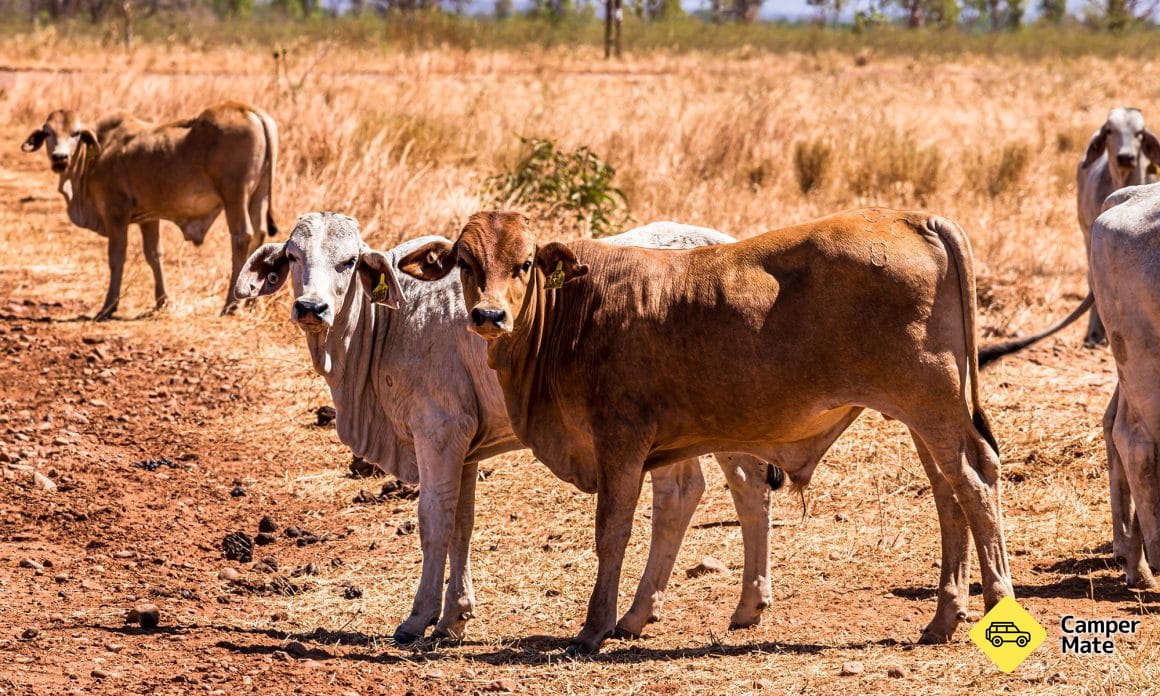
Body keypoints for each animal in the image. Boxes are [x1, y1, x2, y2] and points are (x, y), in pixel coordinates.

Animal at [22, 102, 279, 320]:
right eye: (48, 133)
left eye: (75, 133)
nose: (60, 158)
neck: (96, 155)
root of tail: (248, 109)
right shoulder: (149, 217)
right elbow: (154, 255)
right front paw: (161, 301)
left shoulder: (115, 213)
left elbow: (117, 257)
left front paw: (108, 307)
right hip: (258, 196)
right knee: (260, 237)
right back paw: (253, 301)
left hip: (234, 195)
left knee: (242, 236)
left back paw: (230, 305)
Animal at [235, 212, 783, 644]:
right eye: (293, 256)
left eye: (348, 262)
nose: (311, 307)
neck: (389, 323)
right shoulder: (465, 447)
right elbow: (462, 524)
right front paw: (453, 617)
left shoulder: (438, 431)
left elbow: (434, 522)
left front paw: (418, 619)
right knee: (684, 493)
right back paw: (642, 614)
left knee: (745, 485)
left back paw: (744, 605)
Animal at [398, 208, 1014, 654]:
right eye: (465, 263)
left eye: (525, 263)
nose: (488, 316)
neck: (574, 314)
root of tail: (913, 219)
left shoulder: (620, 444)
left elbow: (613, 533)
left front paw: (594, 628)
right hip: (925, 416)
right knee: (949, 494)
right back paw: (943, 617)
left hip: (931, 406)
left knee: (974, 482)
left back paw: (995, 602)